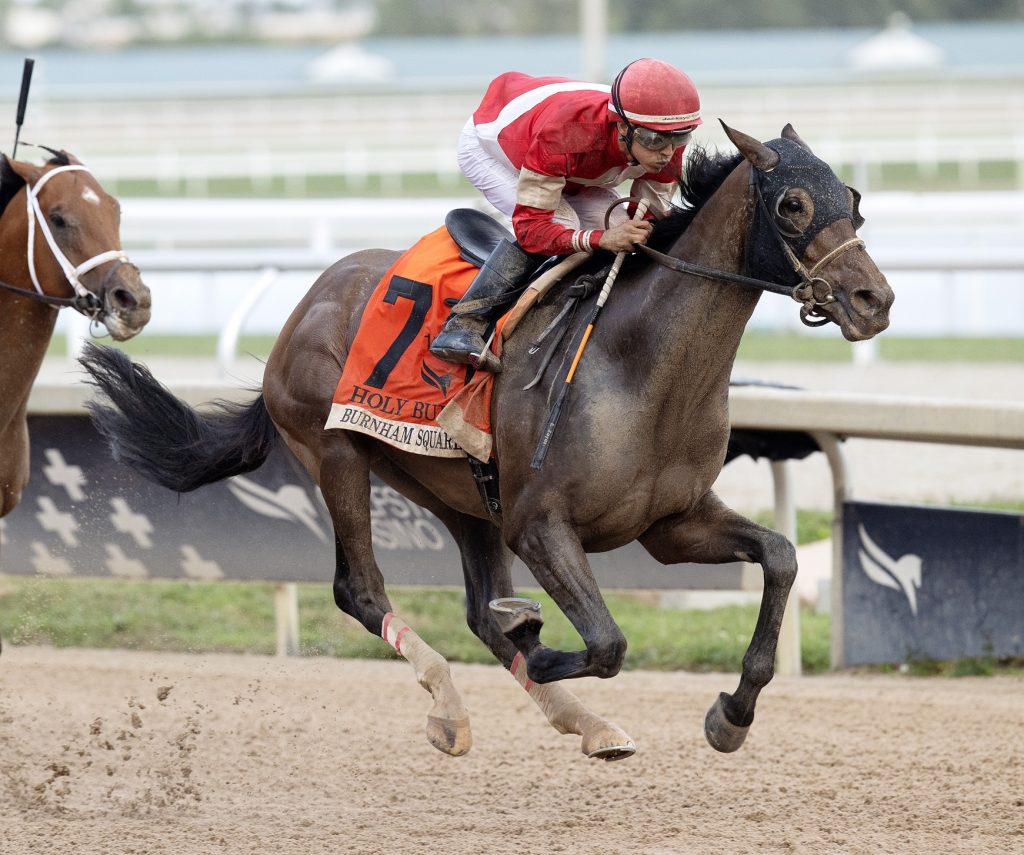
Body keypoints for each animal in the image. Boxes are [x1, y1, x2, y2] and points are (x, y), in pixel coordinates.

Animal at [81, 121, 897, 761]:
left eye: (855, 201)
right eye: (792, 204)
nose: (874, 300)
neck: (637, 362)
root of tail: (308, 302)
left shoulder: (670, 523)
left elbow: (781, 557)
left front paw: (732, 713)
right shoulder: (541, 524)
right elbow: (605, 642)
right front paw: (538, 635)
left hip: (458, 494)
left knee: (476, 609)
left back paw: (586, 721)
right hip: (337, 449)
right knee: (360, 588)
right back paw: (451, 706)